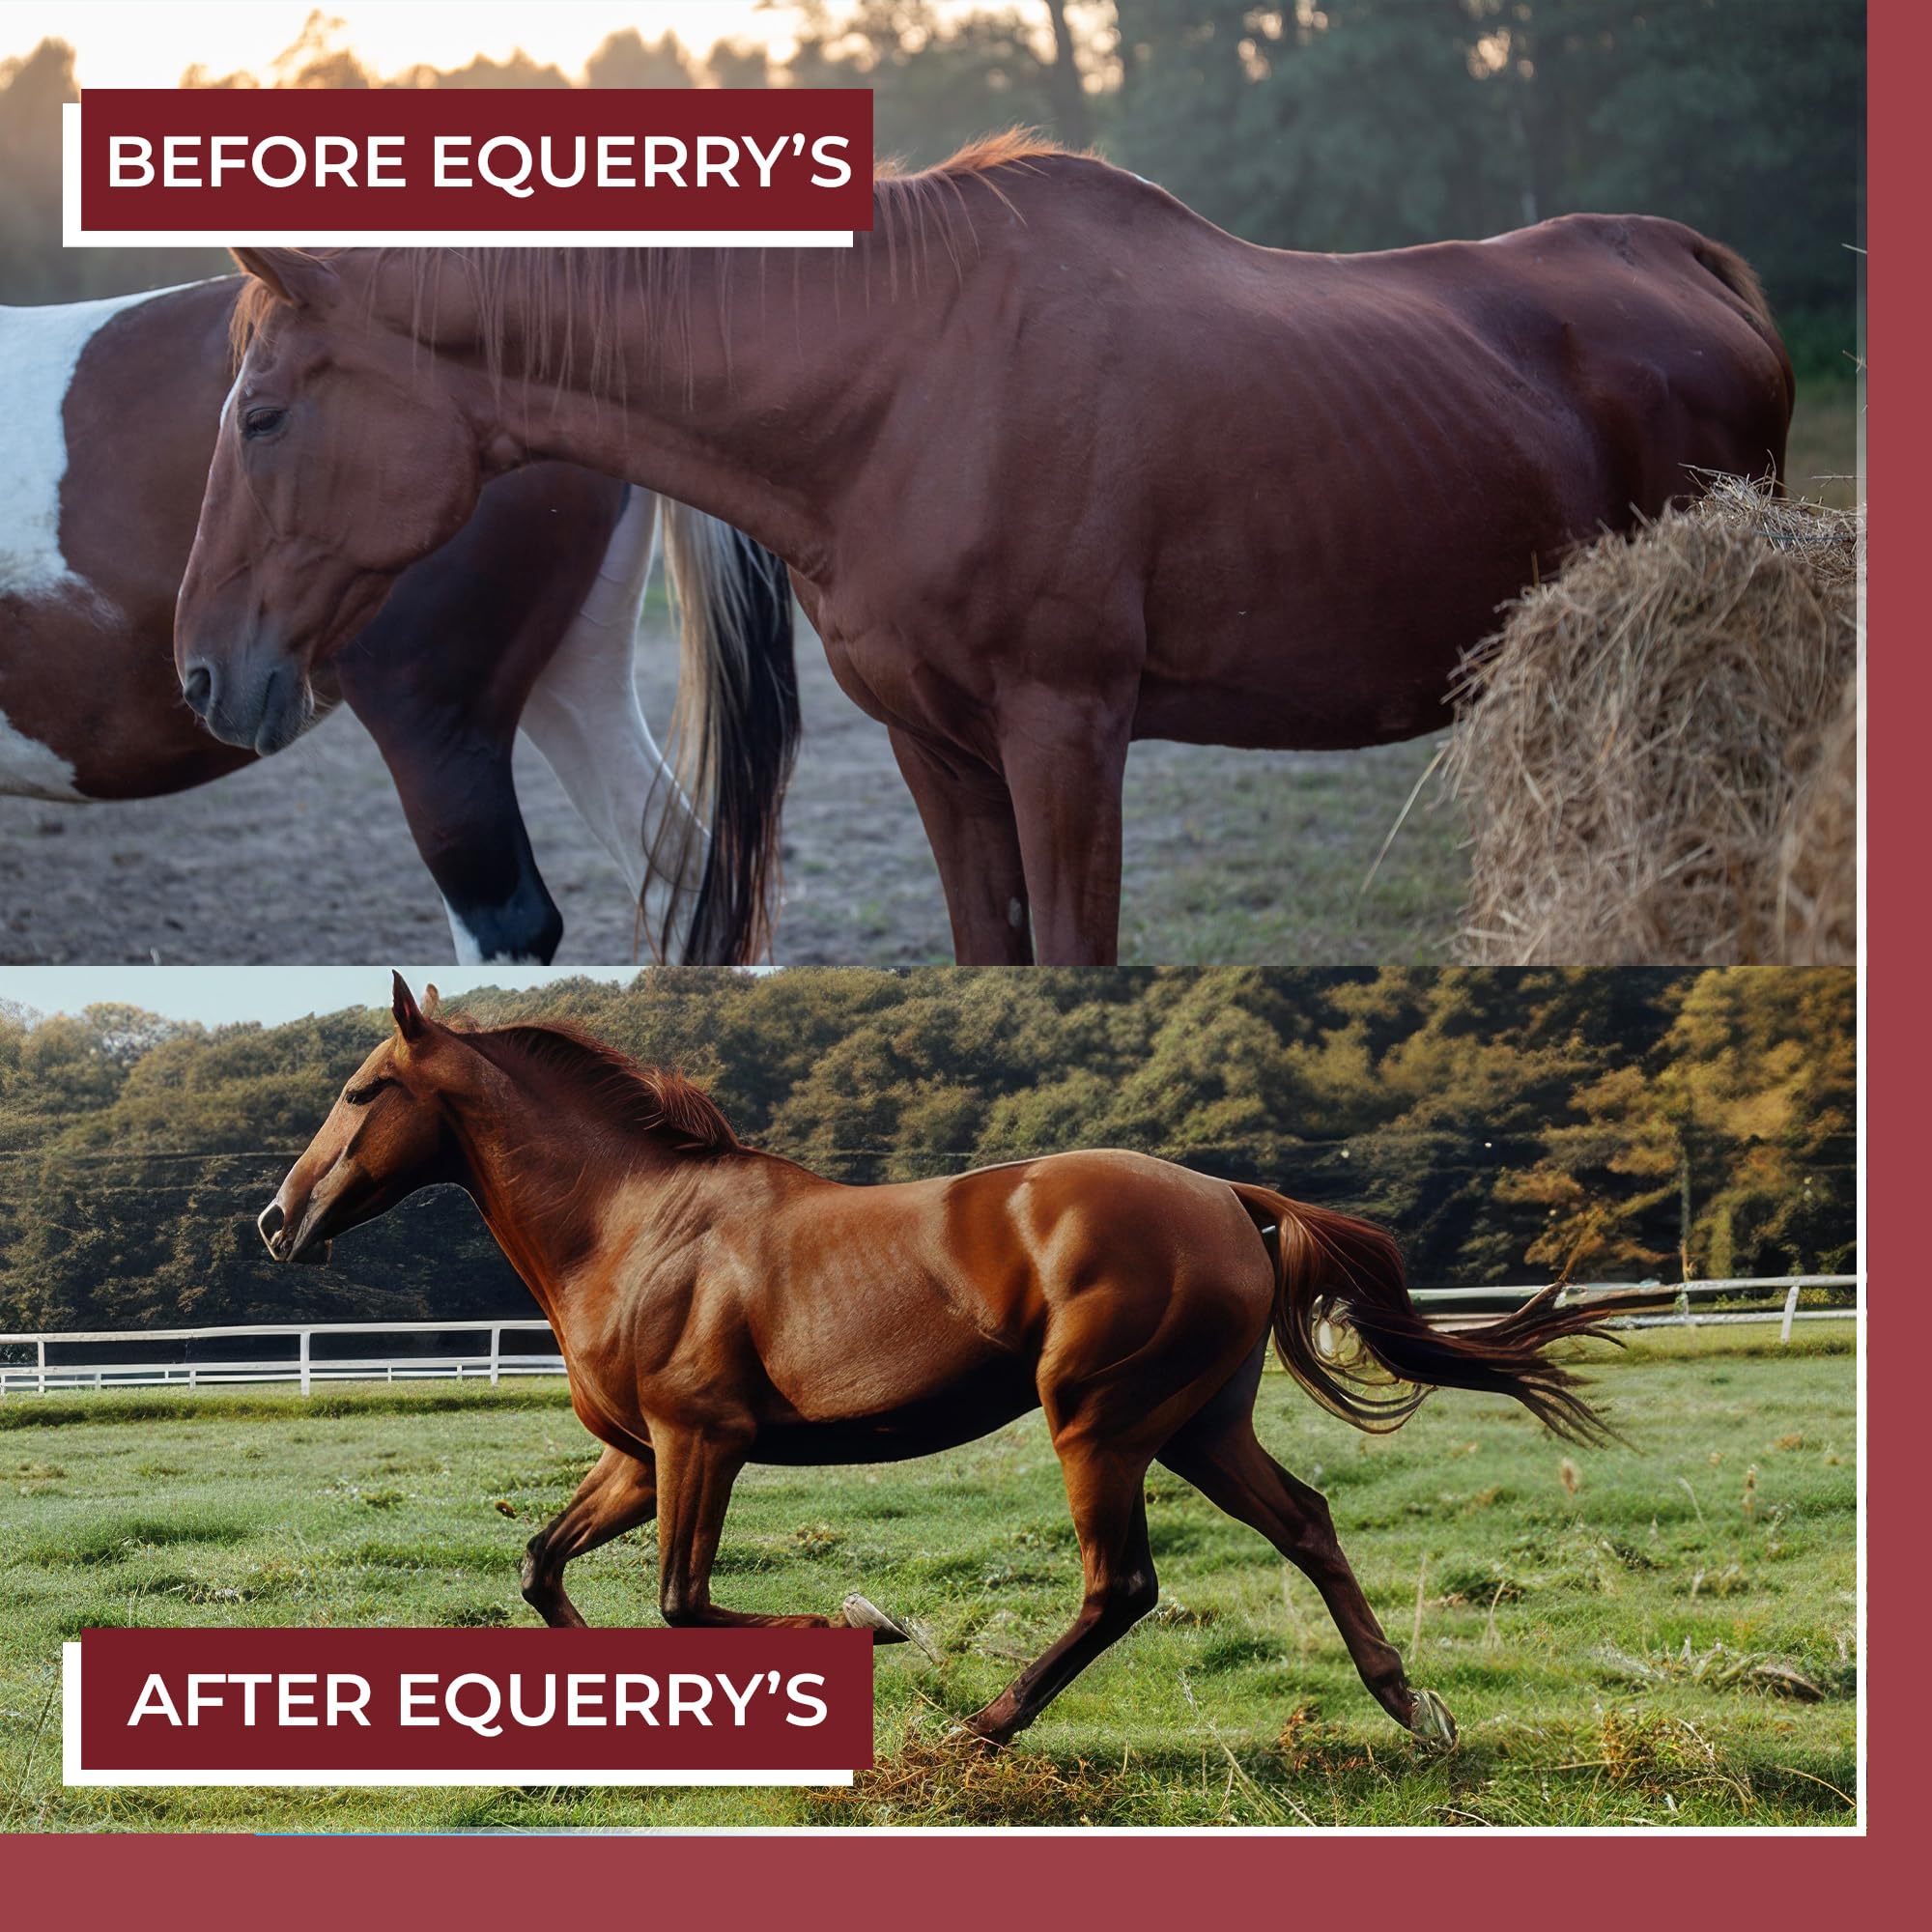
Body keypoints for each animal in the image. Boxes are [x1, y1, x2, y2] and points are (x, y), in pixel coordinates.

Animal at [0, 276, 798, 963]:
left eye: (261, 420)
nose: (199, 674)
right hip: (574, 682)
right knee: (684, 879)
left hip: (434, 728)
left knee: (509, 922)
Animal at [172, 137, 1795, 966]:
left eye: (261, 413)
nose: (200, 672)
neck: (906, 381)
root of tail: (1689, 265)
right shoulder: (937, 749)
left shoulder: (1066, 733)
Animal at [257, 972, 1629, 1747]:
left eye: (362, 1087)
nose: (277, 1219)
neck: (635, 1224)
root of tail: (1226, 1194)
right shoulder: (642, 1458)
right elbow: (545, 1568)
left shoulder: (703, 1442)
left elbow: (683, 1601)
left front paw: (871, 1624)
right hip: (1197, 1423)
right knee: (1304, 1520)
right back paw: (1412, 1707)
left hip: (1097, 1421)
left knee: (1121, 1584)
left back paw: (982, 1726)